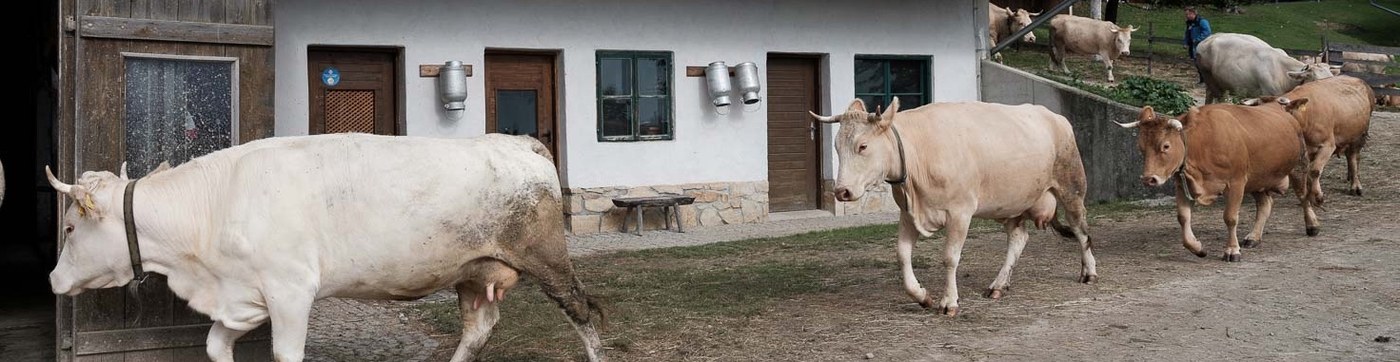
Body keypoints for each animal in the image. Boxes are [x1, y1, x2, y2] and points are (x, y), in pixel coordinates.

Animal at [46, 133, 604, 362]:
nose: (51, 279)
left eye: (70, 228)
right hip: (473, 270)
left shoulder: (291, 291)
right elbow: (214, 345)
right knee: (478, 329)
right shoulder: (245, 296)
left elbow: (286, 352)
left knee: (586, 313)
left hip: (546, 257)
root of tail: (515, 141)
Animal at [1114, 103, 1310, 262]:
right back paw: (1254, 237)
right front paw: (1197, 247)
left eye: (1165, 146)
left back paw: (1312, 225)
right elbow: (1183, 217)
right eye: (1141, 148)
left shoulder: (1236, 182)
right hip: (1258, 178)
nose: (1149, 179)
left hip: (1299, 165)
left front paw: (1232, 250)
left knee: (1304, 197)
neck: (1202, 144)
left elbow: (1230, 217)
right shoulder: (1182, 184)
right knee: (1265, 204)